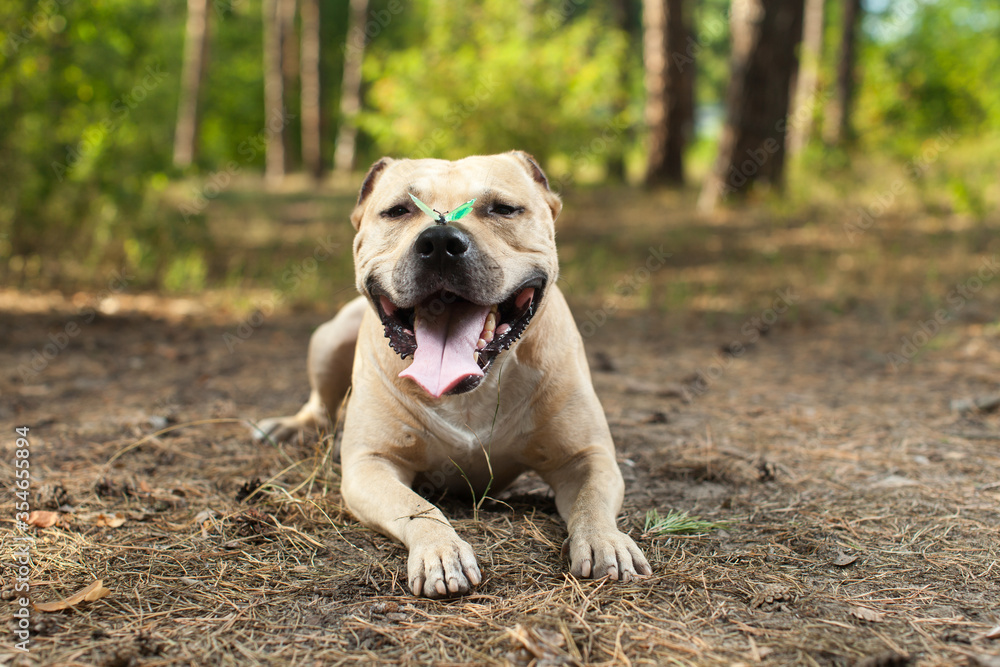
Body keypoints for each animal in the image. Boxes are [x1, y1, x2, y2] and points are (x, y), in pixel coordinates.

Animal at [254, 153, 652, 600]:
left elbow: (591, 501)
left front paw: (606, 541)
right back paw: (289, 427)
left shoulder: (586, 457)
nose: (441, 241)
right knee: (320, 405)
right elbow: (416, 508)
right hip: (330, 338)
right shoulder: (370, 464)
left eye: (503, 209)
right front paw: (441, 552)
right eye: (397, 210)